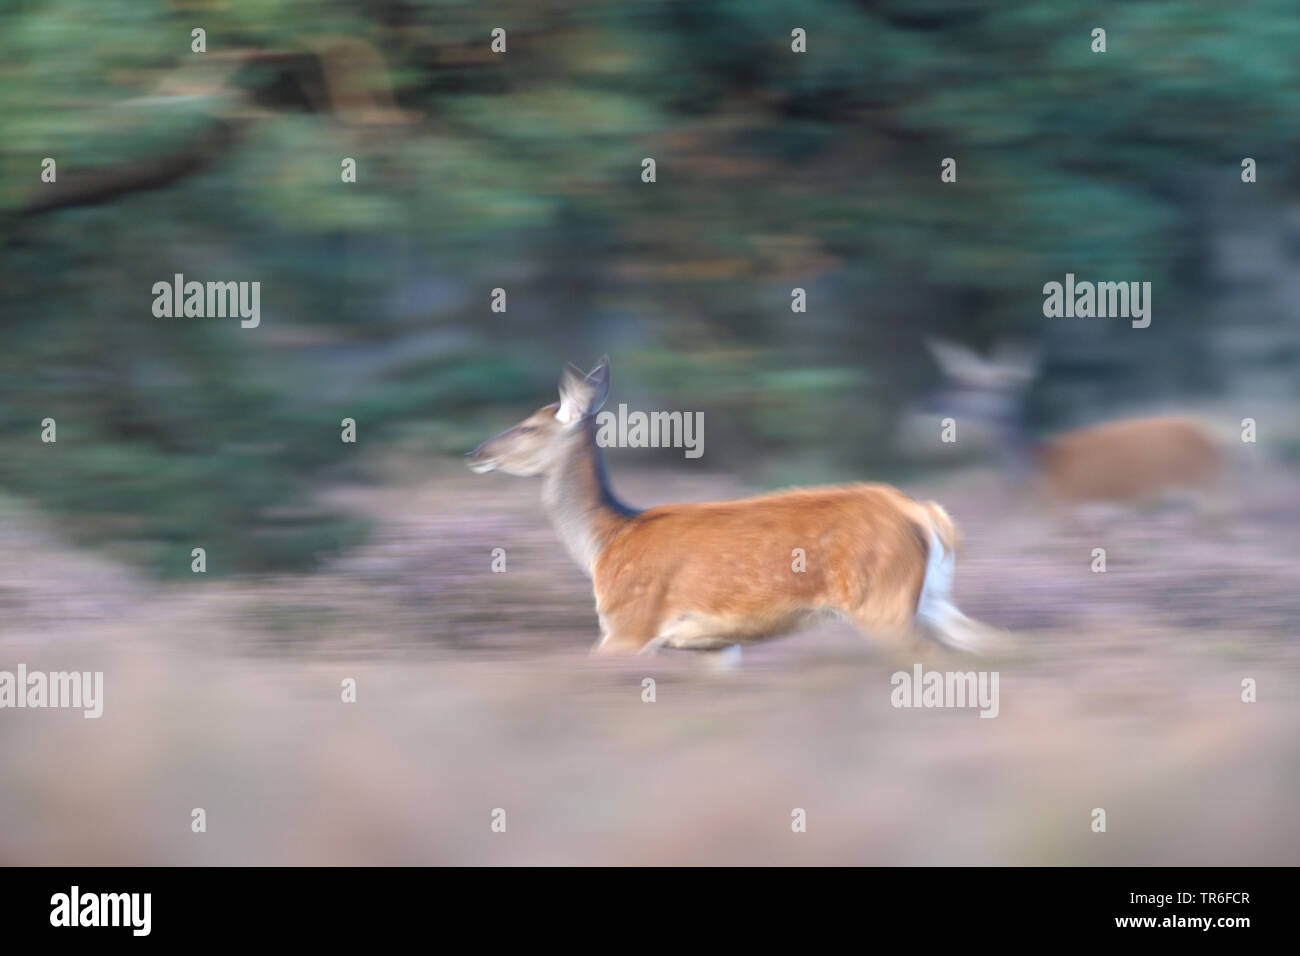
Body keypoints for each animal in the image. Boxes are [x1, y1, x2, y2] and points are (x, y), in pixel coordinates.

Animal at [467, 357, 1000, 659]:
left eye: (530, 426)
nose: (475, 452)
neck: (606, 541)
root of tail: (925, 515)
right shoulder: (713, 645)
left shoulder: (628, 624)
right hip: (932, 599)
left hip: (883, 602)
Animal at [924, 338, 1224, 508]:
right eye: (957, 381)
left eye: (974, 387)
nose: (931, 402)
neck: (1039, 467)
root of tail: (1213, 439)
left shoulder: (1067, 505)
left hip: (1199, 486)